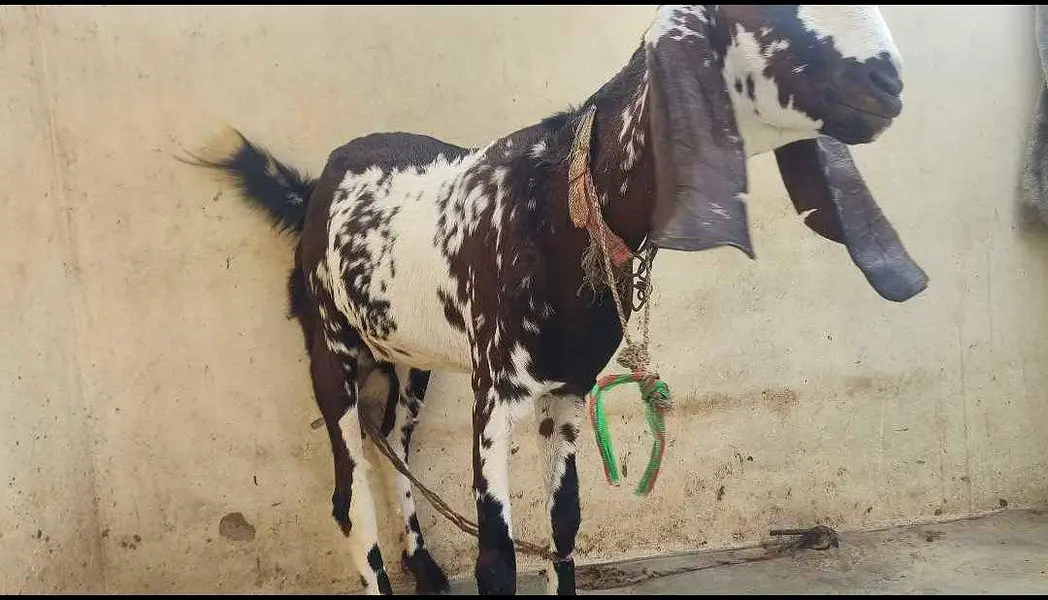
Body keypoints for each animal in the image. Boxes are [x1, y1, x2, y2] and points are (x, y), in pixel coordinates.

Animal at [189, 5, 928, 596]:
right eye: (758, 13)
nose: (889, 81)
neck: (556, 201)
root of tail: (313, 188)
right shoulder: (495, 393)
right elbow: (496, 555)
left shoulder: (569, 392)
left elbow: (565, 528)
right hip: (330, 351)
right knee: (349, 497)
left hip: (411, 358)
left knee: (392, 443)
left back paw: (425, 568)